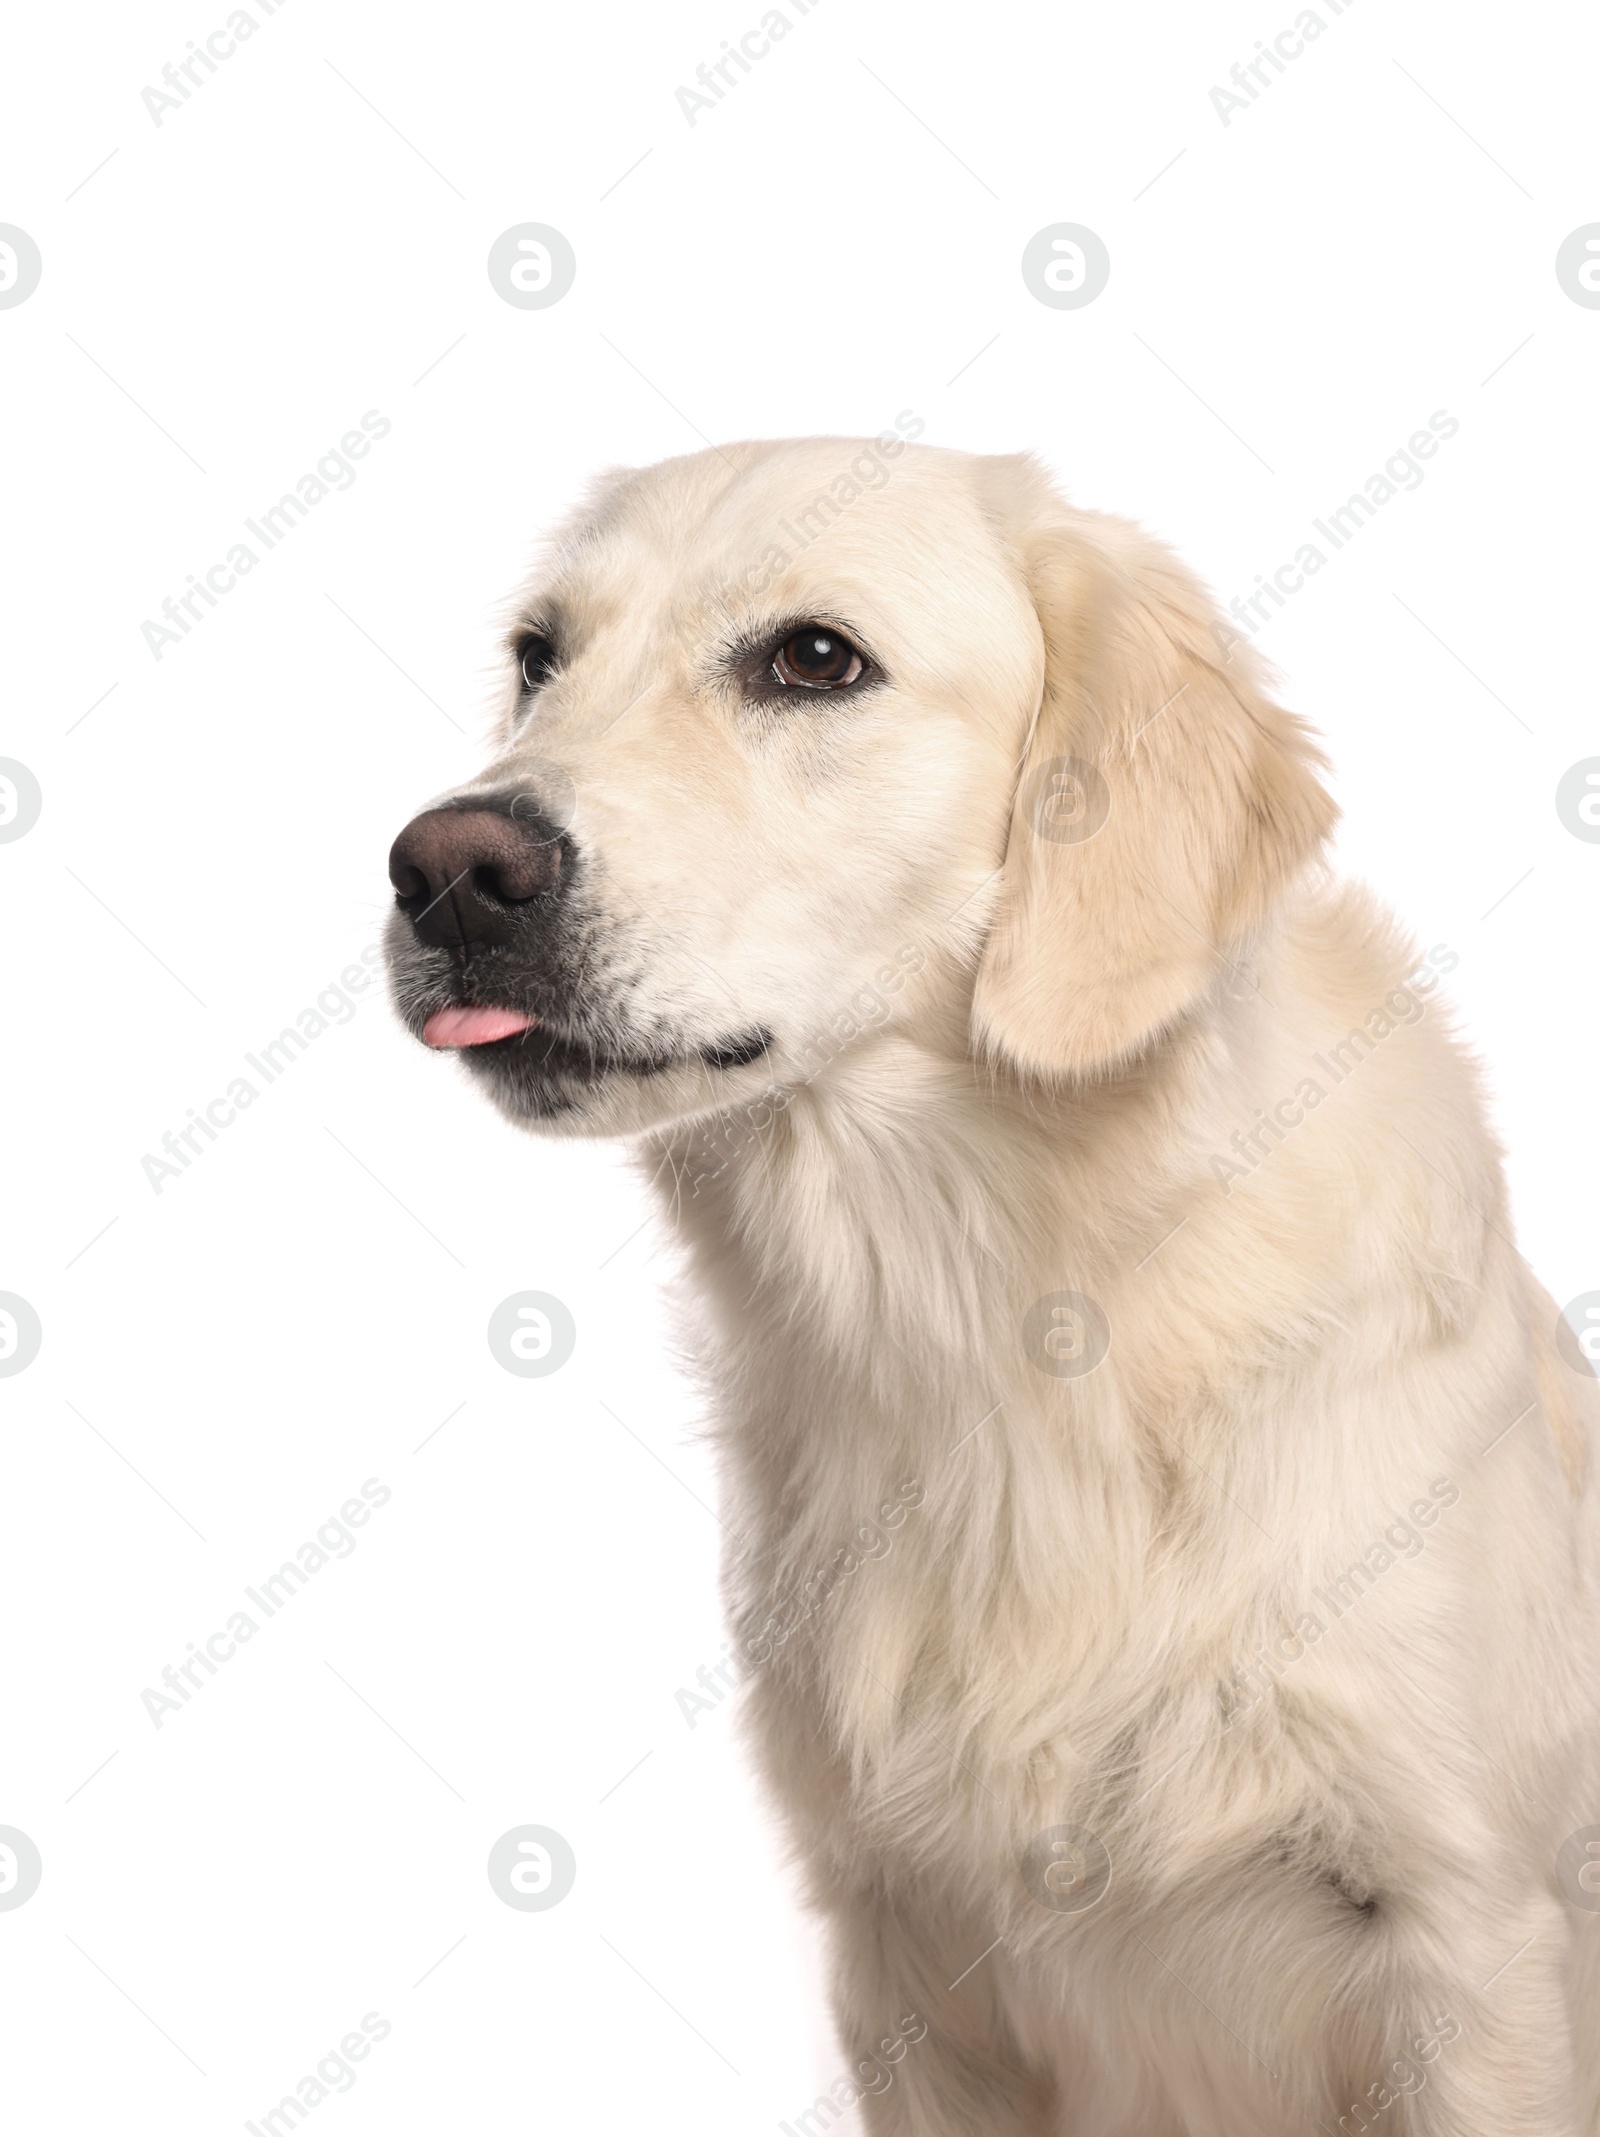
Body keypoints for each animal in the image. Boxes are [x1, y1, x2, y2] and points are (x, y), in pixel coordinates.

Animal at [386, 438, 1597, 2137]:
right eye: (536, 658)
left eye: (814, 659)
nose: (446, 872)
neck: (1009, 1310)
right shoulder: (904, 1960)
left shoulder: (1474, 1940)